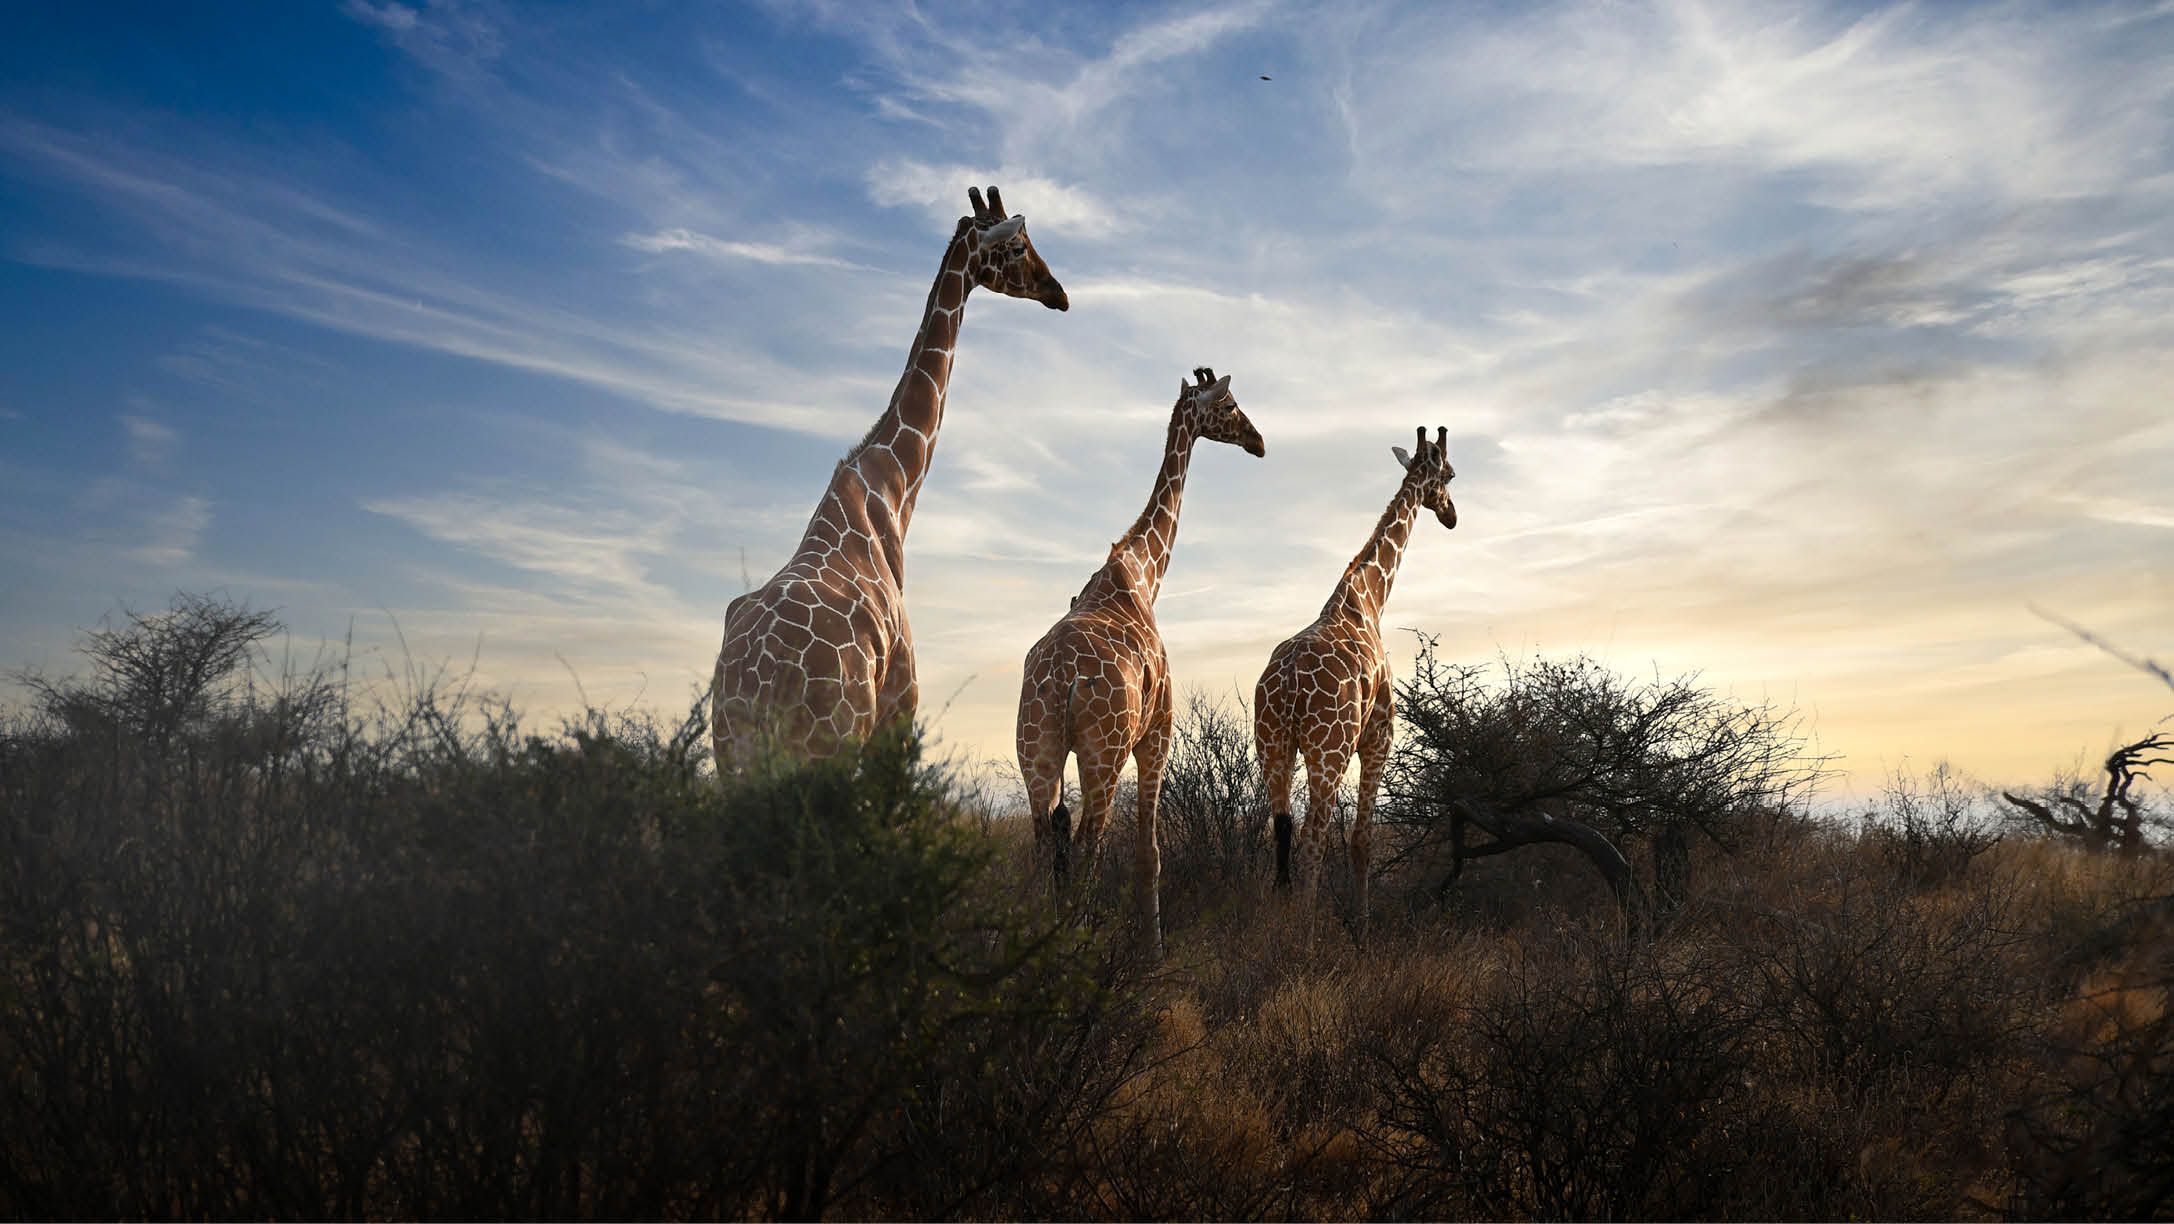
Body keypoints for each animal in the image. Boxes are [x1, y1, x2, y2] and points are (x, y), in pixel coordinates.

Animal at [713, 186, 1067, 768]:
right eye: (1017, 246)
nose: (1058, 292)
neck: (893, 489)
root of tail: (759, 681)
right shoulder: (901, 701)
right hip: (830, 742)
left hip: (730, 755)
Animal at [1017, 367, 1266, 958]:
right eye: (1230, 405)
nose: (1258, 441)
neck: (1144, 572)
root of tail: (1060, 680)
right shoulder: (1159, 730)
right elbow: (1148, 854)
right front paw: (1153, 952)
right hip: (1102, 755)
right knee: (1087, 846)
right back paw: (1080, 954)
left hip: (1035, 752)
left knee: (1043, 851)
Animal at [1254, 426, 1457, 944]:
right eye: (1448, 474)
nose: (1451, 515)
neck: (1369, 596)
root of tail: (1287, 685)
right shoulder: (1378, 737)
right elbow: (1363, 839)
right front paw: (1361, 929)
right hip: (1329, 750)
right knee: (1312, 838)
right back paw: (1304, 939)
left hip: (1272, 746)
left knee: (1280, 831)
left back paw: (1277, 928)